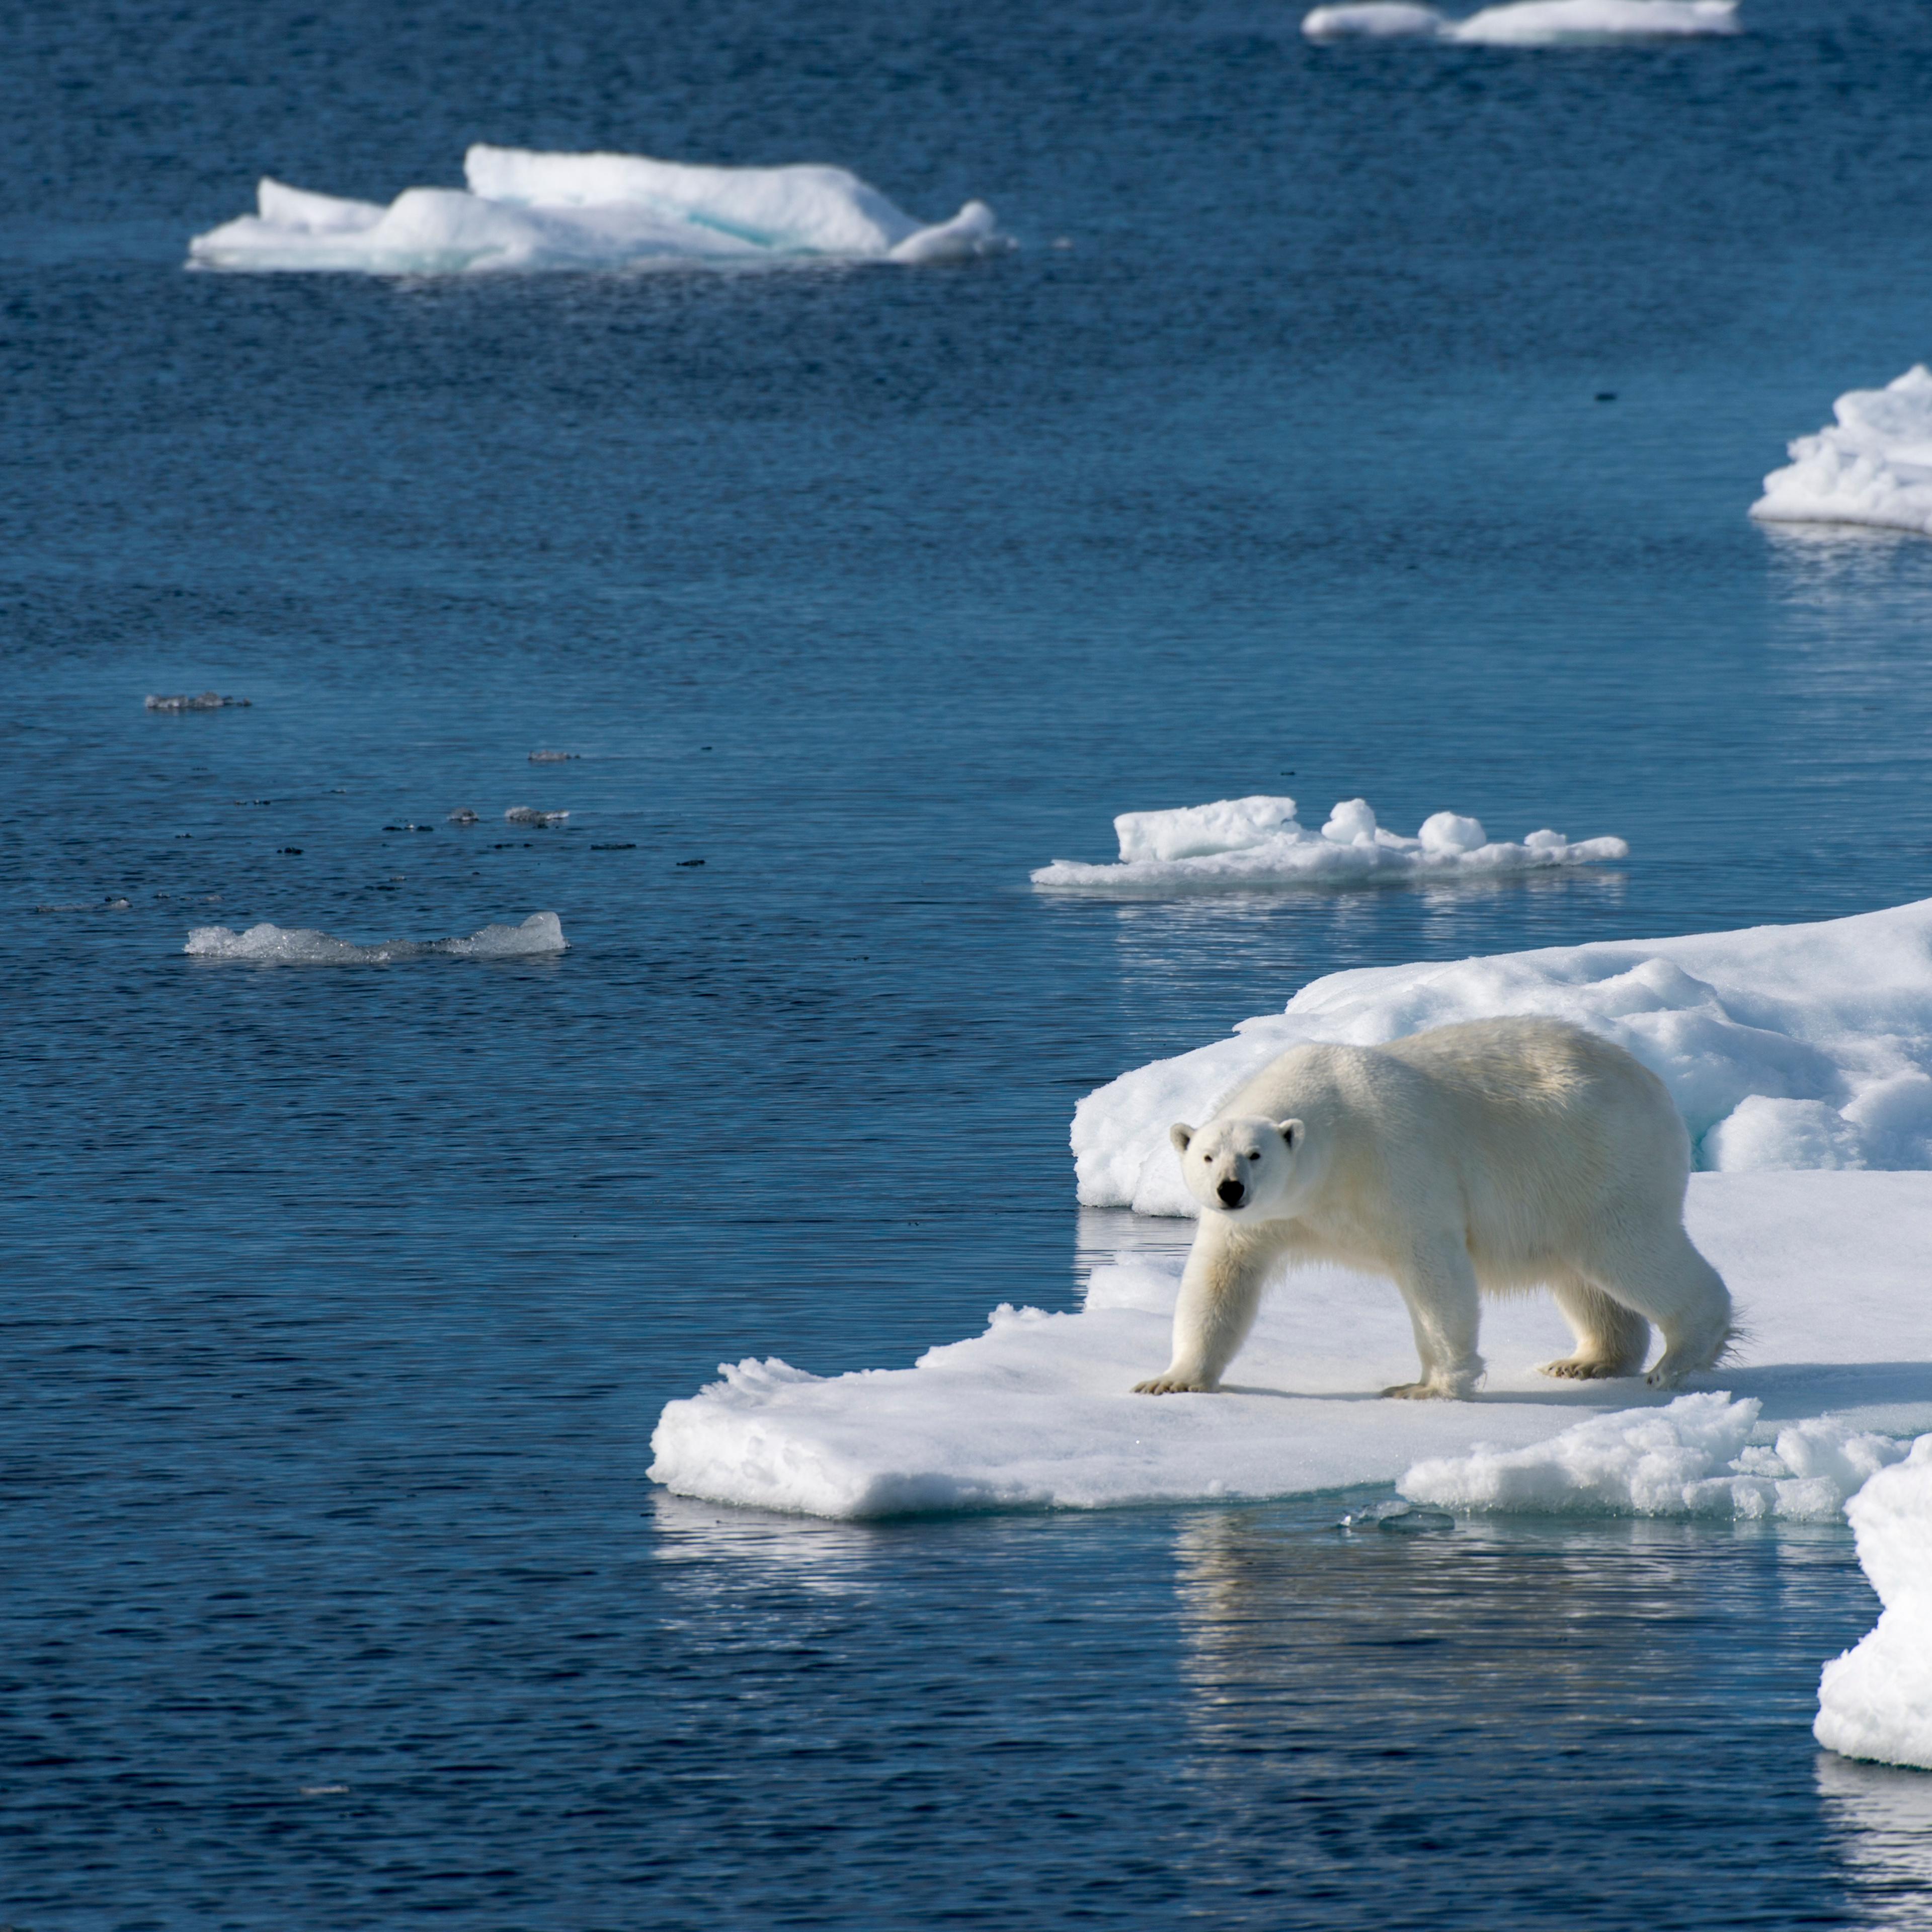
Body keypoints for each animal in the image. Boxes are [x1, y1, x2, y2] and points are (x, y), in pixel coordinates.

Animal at [1132, 1016, 1733, 1399]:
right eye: (1208, 1155)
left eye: (1255, 1155)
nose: (1230, 1189)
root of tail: (1653, 1082)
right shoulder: (1259, 1222)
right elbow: (1219, 1281)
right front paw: (1171, 1380)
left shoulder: (1393, 1169)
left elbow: (1433, 1274)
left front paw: (1426, 1387)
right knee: (1583, 1278)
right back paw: (1585, 1361)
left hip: (1600, 1159)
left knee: (1631, 1251)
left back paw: (1677, 1359)